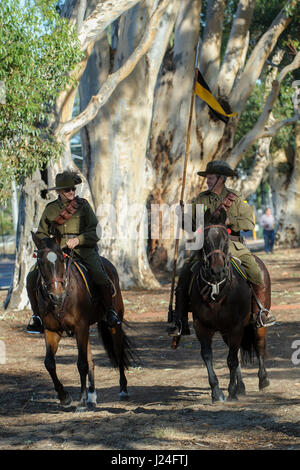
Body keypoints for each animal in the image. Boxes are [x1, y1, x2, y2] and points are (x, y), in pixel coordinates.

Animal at [30, 231, 134, 412]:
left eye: (61, 259)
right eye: (41, 262)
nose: (56, 296)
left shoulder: (80, 328)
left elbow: (81, 364)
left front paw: (81, 400)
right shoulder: (52, 331)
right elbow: (49, 363)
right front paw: (64, 397)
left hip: (113, 324)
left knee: (118, 352)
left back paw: (122, 390)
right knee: (91, 359)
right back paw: (92, 396)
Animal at [185, 209, 270, 404]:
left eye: (225, 239)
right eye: (205, 241)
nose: (217, 271)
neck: (217, 290)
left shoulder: (236, 326)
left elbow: (231, 360)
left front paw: (231, 391)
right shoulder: (202, 327)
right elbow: (208, 356)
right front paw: (217, 392)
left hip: (258, 319)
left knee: (259, 344)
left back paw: (263, 379)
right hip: (225, 332)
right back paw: (242, 387)